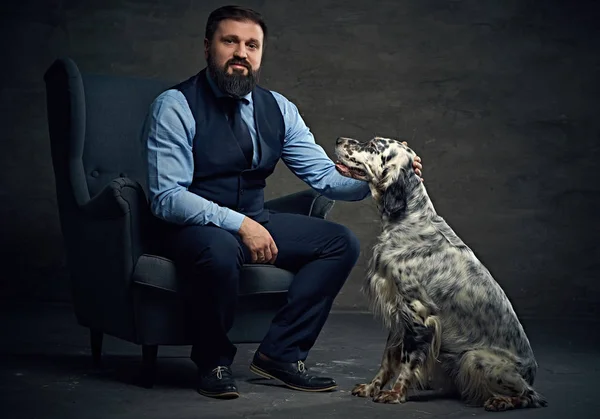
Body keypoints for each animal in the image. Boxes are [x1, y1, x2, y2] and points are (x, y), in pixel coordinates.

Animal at [336, 136, 548, 412]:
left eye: (373, 146)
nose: (339, 140)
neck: (409, 219)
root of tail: (531, 372)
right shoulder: (398, 313)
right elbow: (387, 359)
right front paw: (372, 388)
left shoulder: (418, 313)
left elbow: (407, 360)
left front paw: (394, 394)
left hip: (474, 357)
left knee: (531, 395)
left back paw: (500, 401)